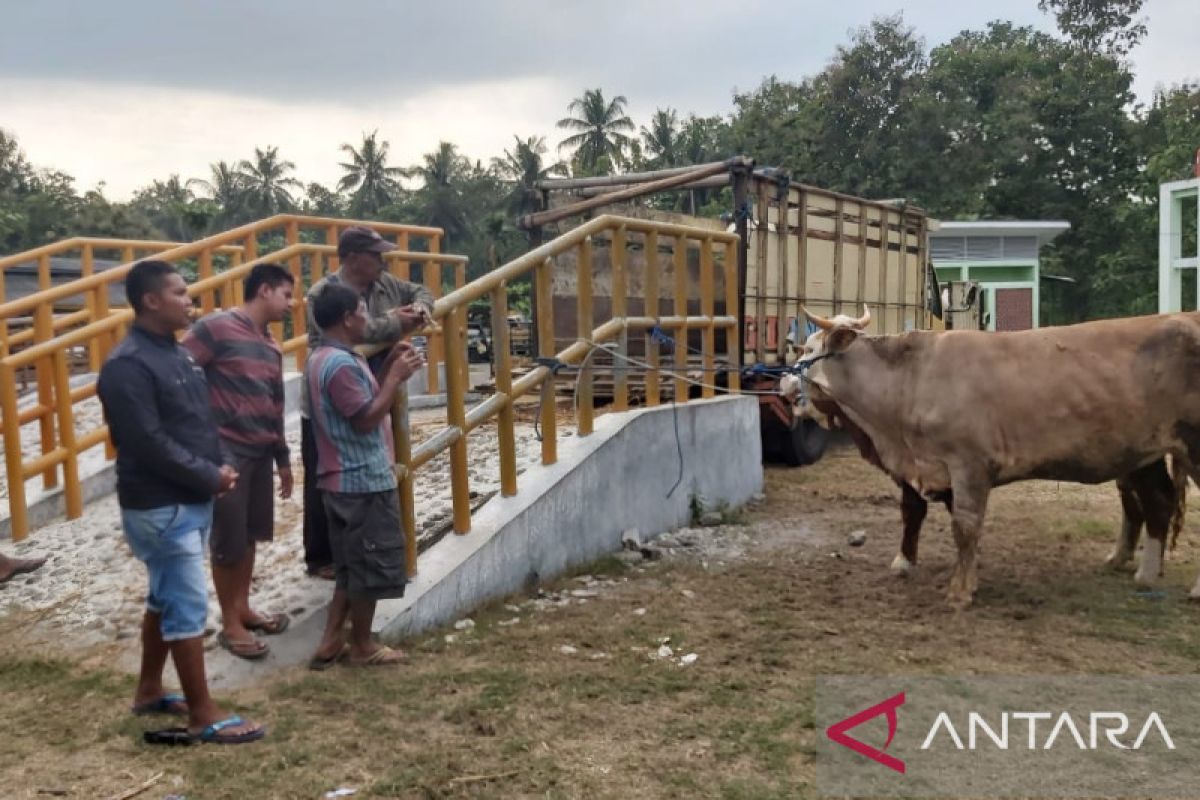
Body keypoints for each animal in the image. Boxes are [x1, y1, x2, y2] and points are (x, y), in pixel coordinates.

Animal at [782, 309, 1195, 606]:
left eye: (807, 350)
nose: (783, 383)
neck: (911, 379)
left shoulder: (969, 465)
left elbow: (965, 526)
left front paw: (959, 591)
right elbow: (932, 518)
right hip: (1145, 454)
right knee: (1153, 501)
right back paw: (1143, 571)